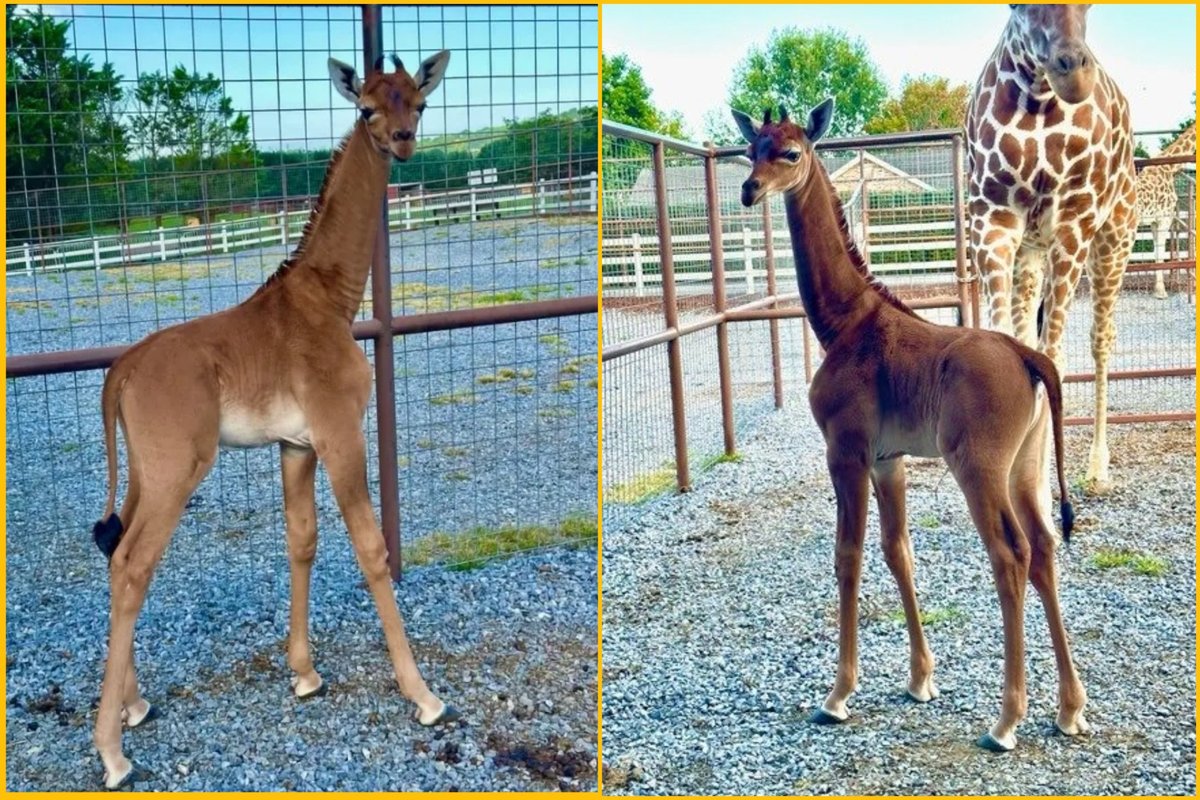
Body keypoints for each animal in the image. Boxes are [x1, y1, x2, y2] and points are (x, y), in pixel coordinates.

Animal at [90, 53, 453, 791]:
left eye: (420, 102)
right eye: (366, 108)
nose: (402, 140)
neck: (331, 299)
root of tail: (122, 372)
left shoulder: (295, 444)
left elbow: (302, 540)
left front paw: (305, 673)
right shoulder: (341, 433)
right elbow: (371, 549)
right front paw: (424, 695)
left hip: (143, 472)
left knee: (115, 553)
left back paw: (135, 705)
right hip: (178, 470)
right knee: (134, 565)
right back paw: (112, 752)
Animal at [729, 98, 1089, 753]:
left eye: (790, 151)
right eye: (752, 149)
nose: (749, 189)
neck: (844, 322)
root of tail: (1030, 358)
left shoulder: (845, 452)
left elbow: (848, 555)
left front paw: (838, 695)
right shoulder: (887, 460)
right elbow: (899, 551)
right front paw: (921, 680)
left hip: (979, 468)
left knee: (1011, 554)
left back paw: (1005, 722)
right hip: (1026, 468)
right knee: (1046, 548)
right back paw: (1070, 709)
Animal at [964, 4, 1132, 494]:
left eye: (1092, 6)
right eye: (1014, 5)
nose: (1072, 72)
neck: (1038, 100)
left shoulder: (1073, 222)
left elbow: (1052, 356)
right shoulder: (992, 219)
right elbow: (1011, 347)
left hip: (1114, 237)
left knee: (1101, 339)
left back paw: (1097, 467)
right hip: (1031, 252)